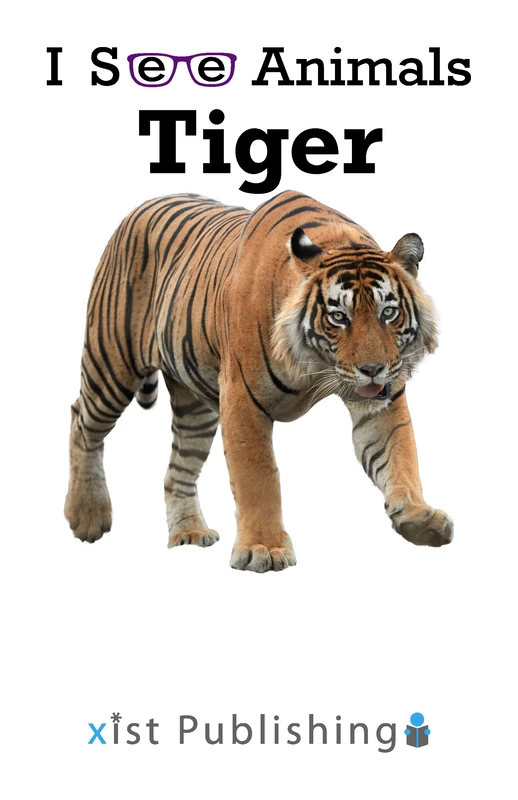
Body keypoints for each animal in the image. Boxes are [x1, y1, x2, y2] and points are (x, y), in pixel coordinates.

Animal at [65, 190, 453, 571]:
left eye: (388, 312)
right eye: (338, 317)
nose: (373, 368)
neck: (316, 365)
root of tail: (141, 206)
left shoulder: (383, 403)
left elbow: (400, 455)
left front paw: (419, 517)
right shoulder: (241, 399)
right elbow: (258, 476)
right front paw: (263, 548)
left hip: (196, 410)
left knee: (177, 470)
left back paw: (189, 532)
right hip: (111, 365)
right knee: (81, 422)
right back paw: (86, 515)